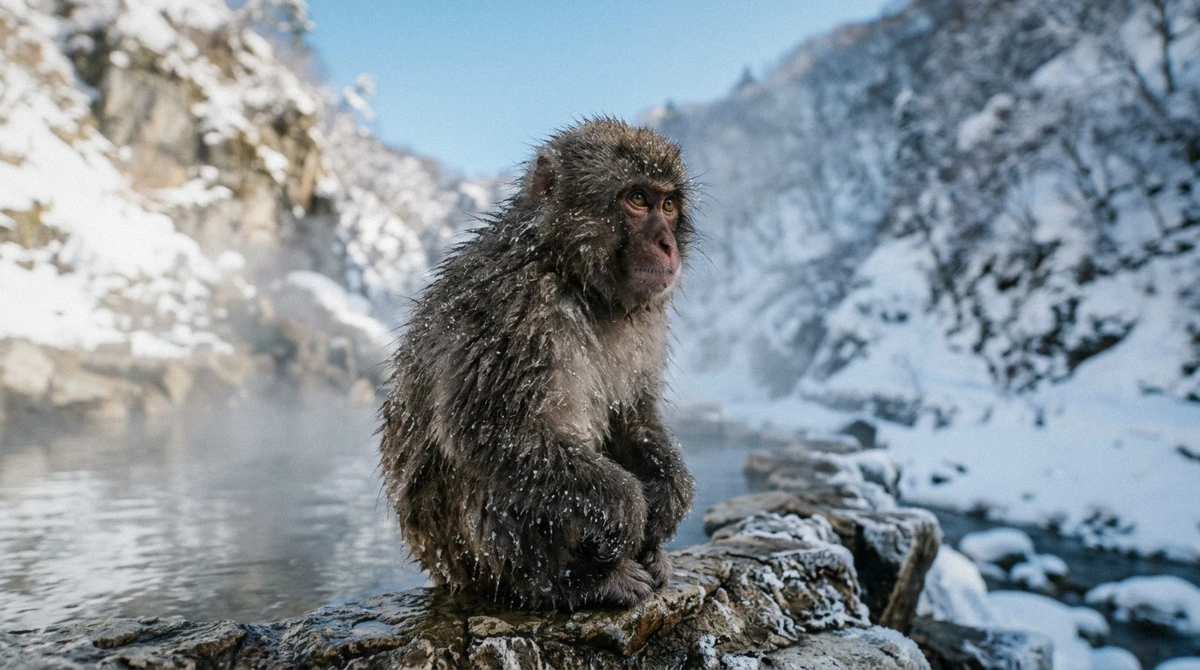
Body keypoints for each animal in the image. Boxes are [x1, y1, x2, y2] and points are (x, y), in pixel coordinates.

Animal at [379, 118, 696, 610]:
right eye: (638, 199)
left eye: (668, 204)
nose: (666, 244)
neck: (570, 273)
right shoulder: (516, 308)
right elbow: (487, 428)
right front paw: (627, 505)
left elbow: (631, 413)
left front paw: (670, 493)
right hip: (476, 562)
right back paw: (579, 581)